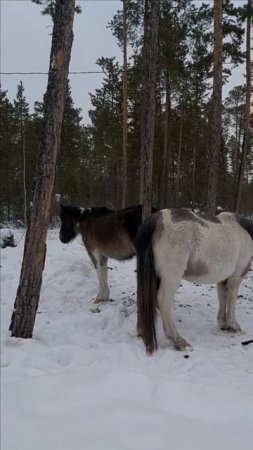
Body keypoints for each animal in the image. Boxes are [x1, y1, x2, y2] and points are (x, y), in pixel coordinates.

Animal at [136, 209, 253, 354]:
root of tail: (157, 218)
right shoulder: (236, 277)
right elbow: (231, 299)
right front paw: (234, 325)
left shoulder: (223, 279)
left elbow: (223, 298)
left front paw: (224, 323)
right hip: (172, 276)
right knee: (163, 300)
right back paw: (177, 339)